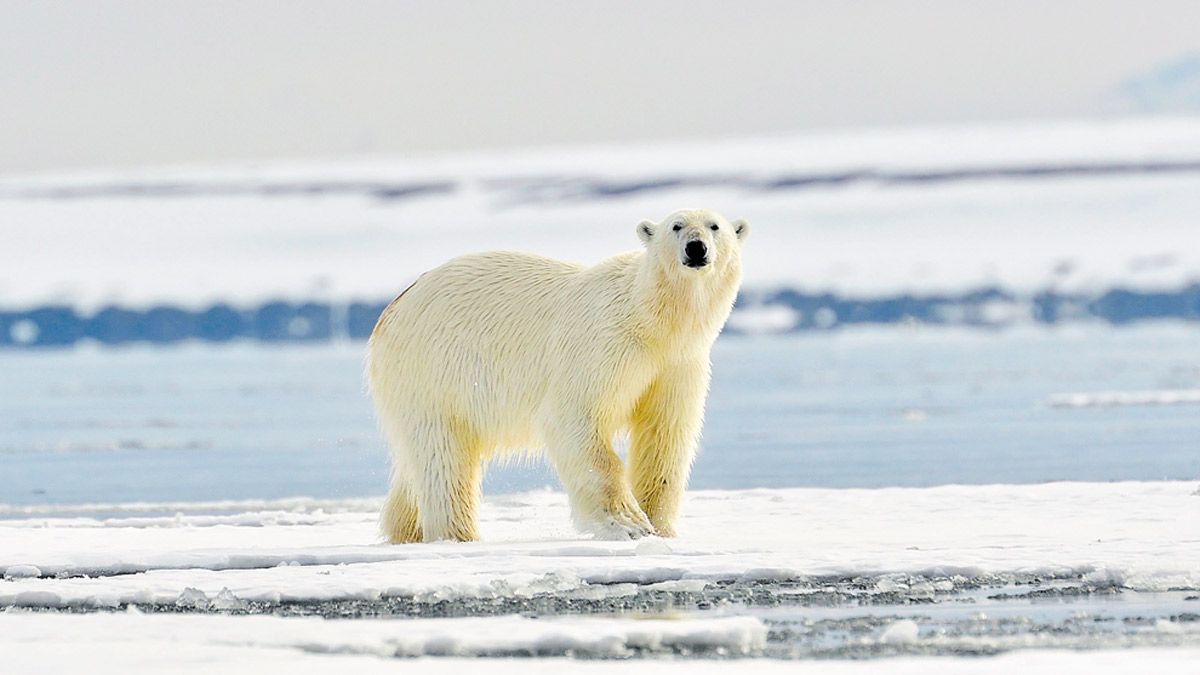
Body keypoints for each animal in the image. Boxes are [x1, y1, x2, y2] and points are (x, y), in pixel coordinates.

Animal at [364, 206, 748, 540]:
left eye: (715, 226)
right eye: (676, 226)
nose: (696, 248)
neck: (653, 322)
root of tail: (392, 308)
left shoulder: (678, 364)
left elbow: (665, 435)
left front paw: (659, 526)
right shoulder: (604, 345)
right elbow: (576, 418)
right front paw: (628, 525)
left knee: (416, 464)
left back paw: (406, 530)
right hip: (431, 373)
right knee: (443, 459)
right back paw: (457, 535)